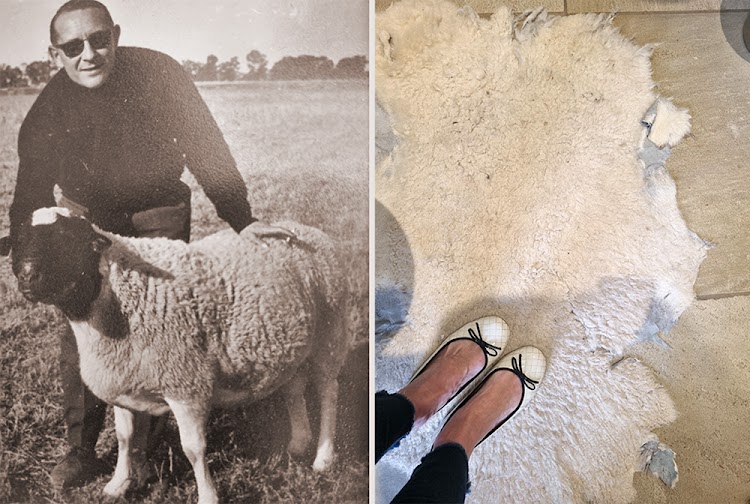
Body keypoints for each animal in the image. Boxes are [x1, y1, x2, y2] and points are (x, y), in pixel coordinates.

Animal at [1, 206, 350, 504]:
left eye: (67, 239)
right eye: (18, 241)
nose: (28, 276)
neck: (117, 297)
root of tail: (305, 229)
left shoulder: (186, 383)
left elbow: (193, 448)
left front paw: (208, 496)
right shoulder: (124, 380)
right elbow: (125, 437)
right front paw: (118, 484)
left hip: (330, 333)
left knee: (329, 392)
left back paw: (323, 457)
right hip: (292, 341)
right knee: (293, 388)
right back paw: (298, 443)